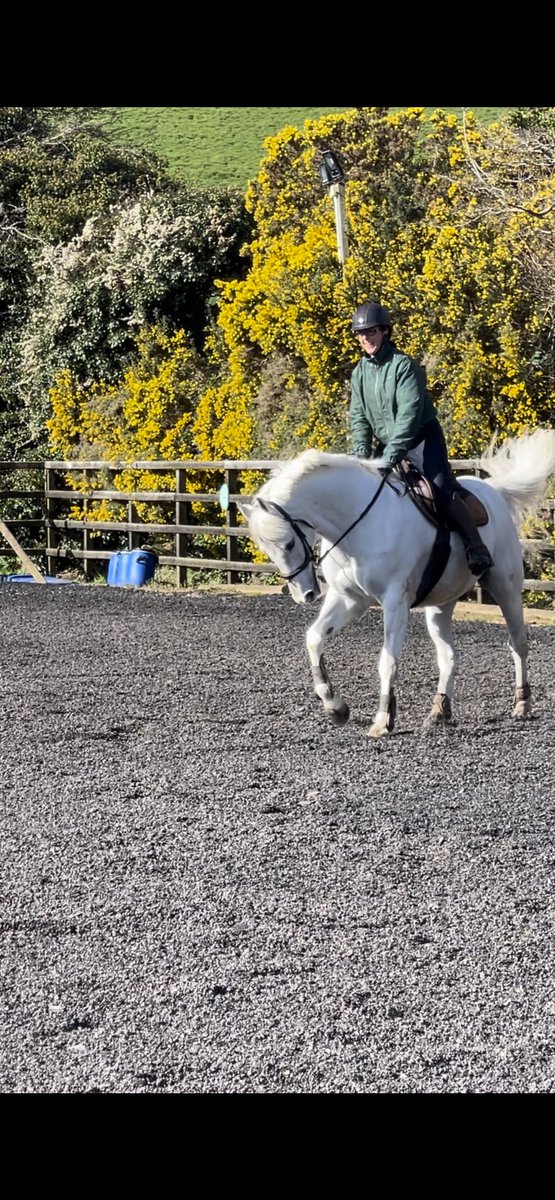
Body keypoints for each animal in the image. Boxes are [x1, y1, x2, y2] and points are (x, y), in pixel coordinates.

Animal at [238, 429, 555, 737]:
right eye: (267, 548)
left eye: (289, 543)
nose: (304, 594)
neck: (357, 523)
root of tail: (493, 491)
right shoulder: (348, 598)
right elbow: (314, 638)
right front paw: (335, 707)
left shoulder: (394, 602)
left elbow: (387, 661)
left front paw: (382, 720)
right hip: (440, 605)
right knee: (448, 656)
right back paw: (439, 712)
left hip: (505, 588)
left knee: (518, 642)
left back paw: (522, 704)